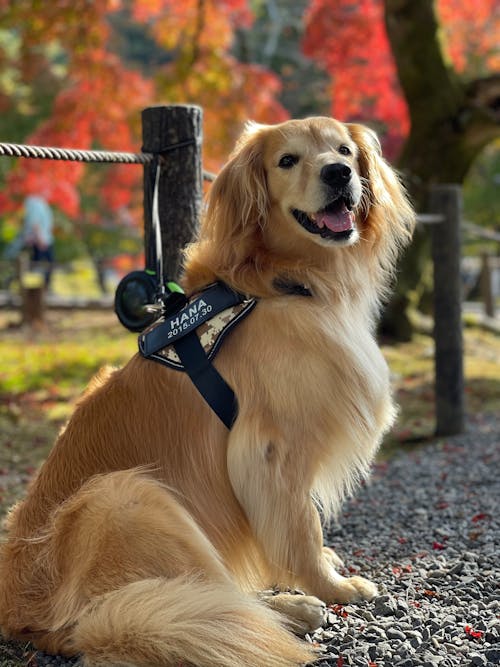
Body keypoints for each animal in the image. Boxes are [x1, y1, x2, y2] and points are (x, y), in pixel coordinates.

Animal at [0, 117, 414, 664]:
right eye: (287, 160)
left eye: (344, 150)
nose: (339, 174)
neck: (282, 281)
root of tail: (22, 616)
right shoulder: (270, 450)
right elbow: (302, 525)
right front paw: (331, 585)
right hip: (126, 497)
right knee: (204, 597)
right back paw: (294, 610)